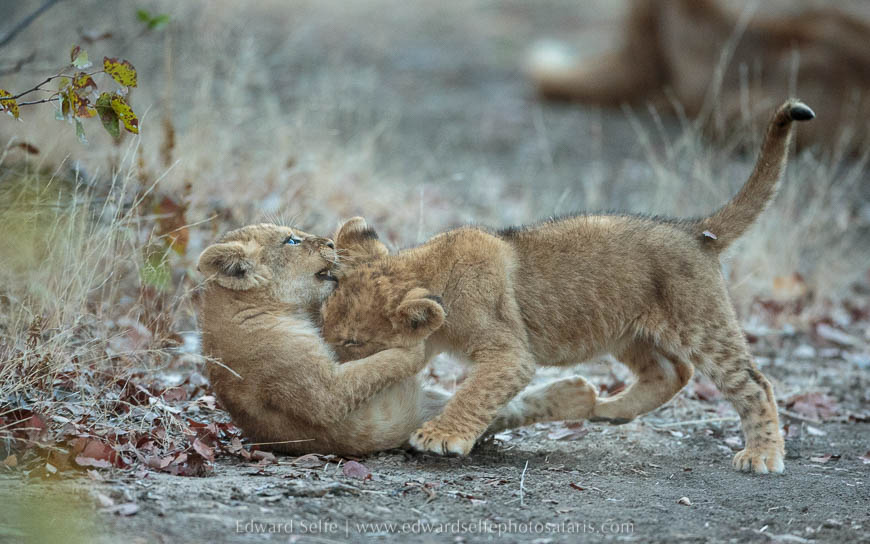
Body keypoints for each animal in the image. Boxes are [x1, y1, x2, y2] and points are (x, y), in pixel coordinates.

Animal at [196, 219, 599, 455]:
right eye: (291, 241)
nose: (330, 243)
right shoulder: (320, 394)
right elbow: (377, 366)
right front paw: (414, 346)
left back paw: (577, 393)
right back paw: (579, 394)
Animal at [320, 100, 814, 473]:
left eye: (354, 342)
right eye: (323, 323)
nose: (326, 367)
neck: (427, 268)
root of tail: (695, 231)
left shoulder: (510, 352)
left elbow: (475, 392)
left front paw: (442, 436)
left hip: (700, 322)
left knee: (753, 383)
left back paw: (762, 455)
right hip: (625, 330)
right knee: (673, 371)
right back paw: (609, 408)